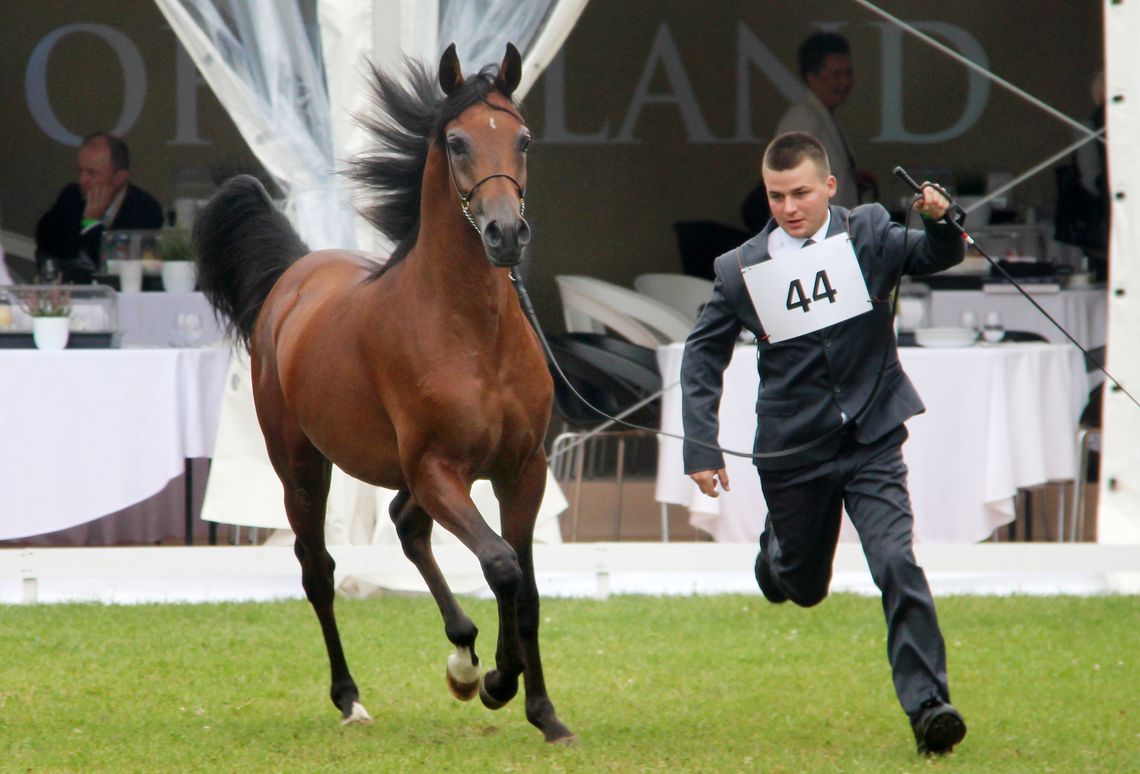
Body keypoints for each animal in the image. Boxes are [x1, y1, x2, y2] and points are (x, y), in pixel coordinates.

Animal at [193, 43, 579, 743]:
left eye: (524, 139)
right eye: (455, 141)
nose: (505, 234)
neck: (473, 334)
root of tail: (295, 275)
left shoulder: (521, 470)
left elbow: (528, 587)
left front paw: (542, 712)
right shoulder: (437, 470)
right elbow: (501, 565)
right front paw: (498, 683)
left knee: (405, 527)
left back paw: (461, 656)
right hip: (302, 470)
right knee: (319, 571)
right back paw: (353, 699)